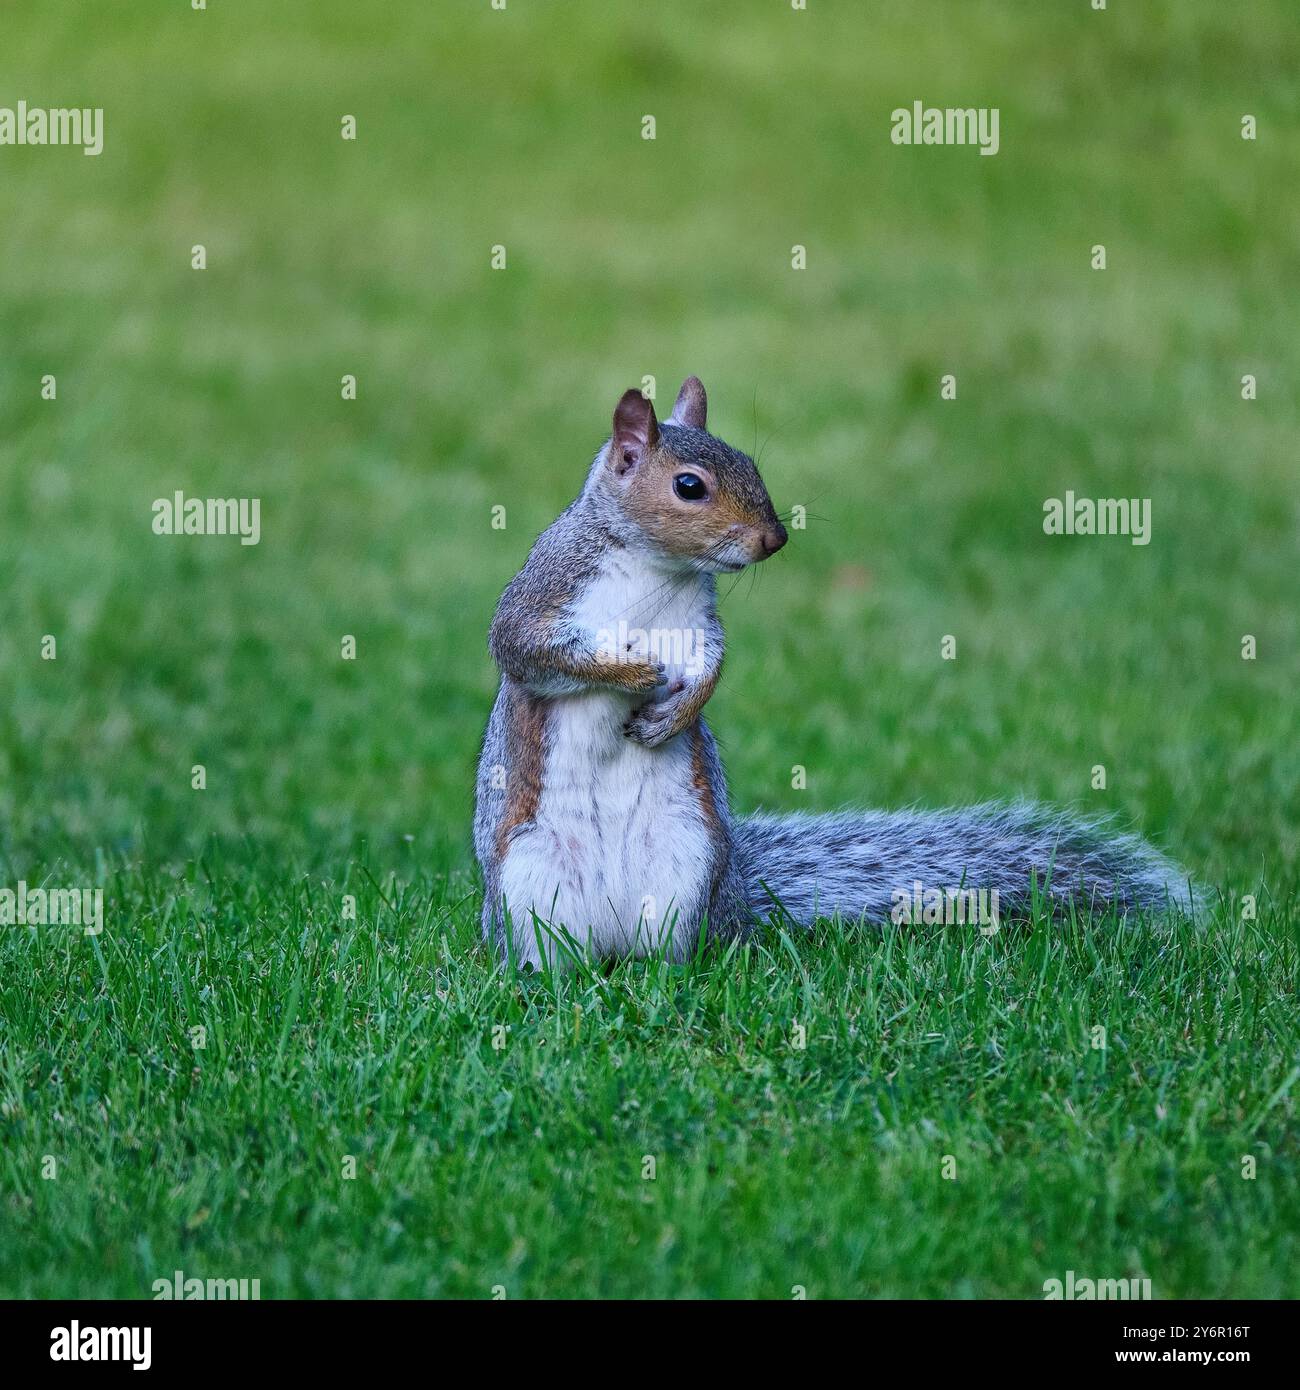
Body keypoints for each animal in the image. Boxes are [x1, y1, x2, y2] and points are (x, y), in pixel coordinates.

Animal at [472, 375, 1195, 973]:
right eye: (688, 486)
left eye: (752, 464)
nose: (774, 539)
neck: (656, 569)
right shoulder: (544, 598)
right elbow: (531, 652)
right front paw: (632, 673)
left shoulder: (698, 624)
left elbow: (710, 667)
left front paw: (677, 710)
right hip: (529, 888)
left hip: (685, 866)